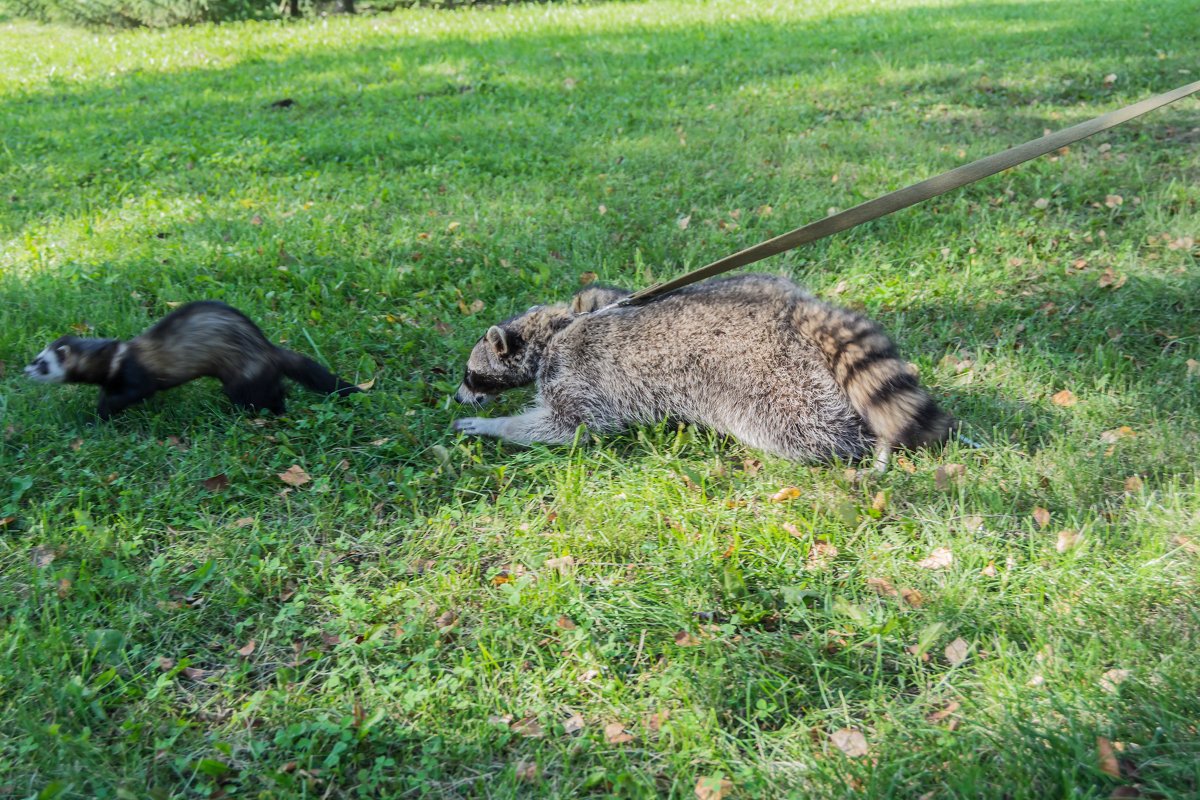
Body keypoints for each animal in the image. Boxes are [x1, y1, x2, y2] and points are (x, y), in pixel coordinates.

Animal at [24, 299, 360, 419]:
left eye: (43, 362)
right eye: (36, 354)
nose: (26, 369)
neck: (114, 359)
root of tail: (269, 349)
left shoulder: (135, 378)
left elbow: (125, 395)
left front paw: (100, 413)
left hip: (241, 381)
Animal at [453, 273, 950, 470]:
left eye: (470, 374)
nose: (457, 396)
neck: (550, 331)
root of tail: (793, 306)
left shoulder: (575, 375)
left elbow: (569, 427)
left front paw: (493, 425)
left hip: (766, 374)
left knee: (804, 426)